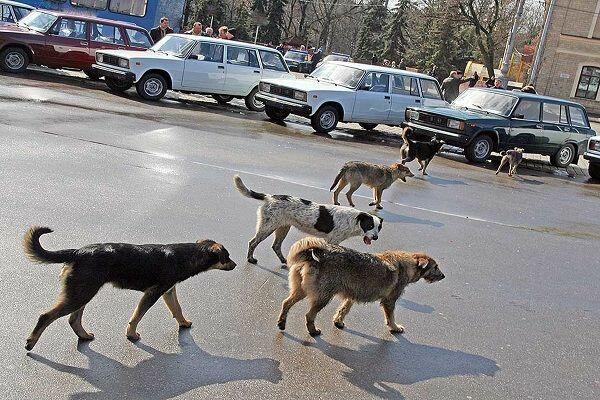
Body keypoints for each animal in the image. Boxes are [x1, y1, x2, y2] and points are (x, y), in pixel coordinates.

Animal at [23, 227, 236, 352]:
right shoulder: (153, 293)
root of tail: (78, 252)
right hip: (81, 293)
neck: (186, 255)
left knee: (73, 319)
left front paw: (183, 323)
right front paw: (131, 335)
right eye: (227, 256)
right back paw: (31, 342)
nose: (235, 265)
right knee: (46, 316)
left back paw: (83, 336)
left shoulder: (168, 291)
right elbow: (137, 316)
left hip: (82, 291)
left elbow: (177, 309)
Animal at [232, 176, 382, 266]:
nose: (375, 238)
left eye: (378, 228)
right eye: (369, 225)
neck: (353, 220)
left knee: (276, 246)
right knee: (253, 243)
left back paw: (284, 260)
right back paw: (250, 259)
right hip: (267, 227)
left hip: (283, 227)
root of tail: (270, 197)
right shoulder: (332, 241)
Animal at [278, 238, 442, 338]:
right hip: (323, 297)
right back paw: (312, 331)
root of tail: (313, 256)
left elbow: (344, 309)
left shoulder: (352, 294)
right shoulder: (389, 301)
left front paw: (338, 321)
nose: (443, 276)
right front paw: (394, 327)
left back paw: (281, 322)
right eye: (435, 267)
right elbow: (391, 317)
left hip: (300, 291)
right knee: (309, 315)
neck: (407, 263)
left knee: (286, 303)